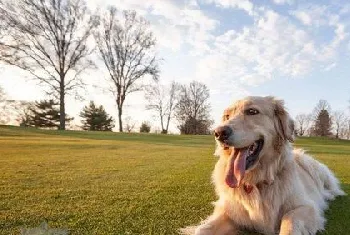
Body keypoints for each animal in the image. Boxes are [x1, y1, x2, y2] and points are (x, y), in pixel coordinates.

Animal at [183, 96, 344, 235]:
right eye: (227, 116)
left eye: (252, 111)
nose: (218, 133)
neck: (255, 181)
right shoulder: (229, 212)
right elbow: (202, 229)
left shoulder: (306, 207)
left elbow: (289, 220)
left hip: (313, 166)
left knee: (333, 188)